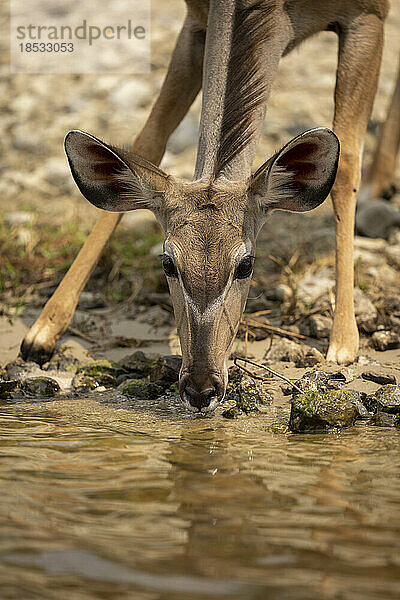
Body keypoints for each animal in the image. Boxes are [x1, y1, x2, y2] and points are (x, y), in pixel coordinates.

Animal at [20, 0, 392, 412]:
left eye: (246, 264)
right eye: (168, 263)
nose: (201, 389)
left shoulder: (367, 16)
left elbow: (346, 165)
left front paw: (343, 345)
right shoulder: (196, 22)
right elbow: (149, 139)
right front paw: (41, 333)